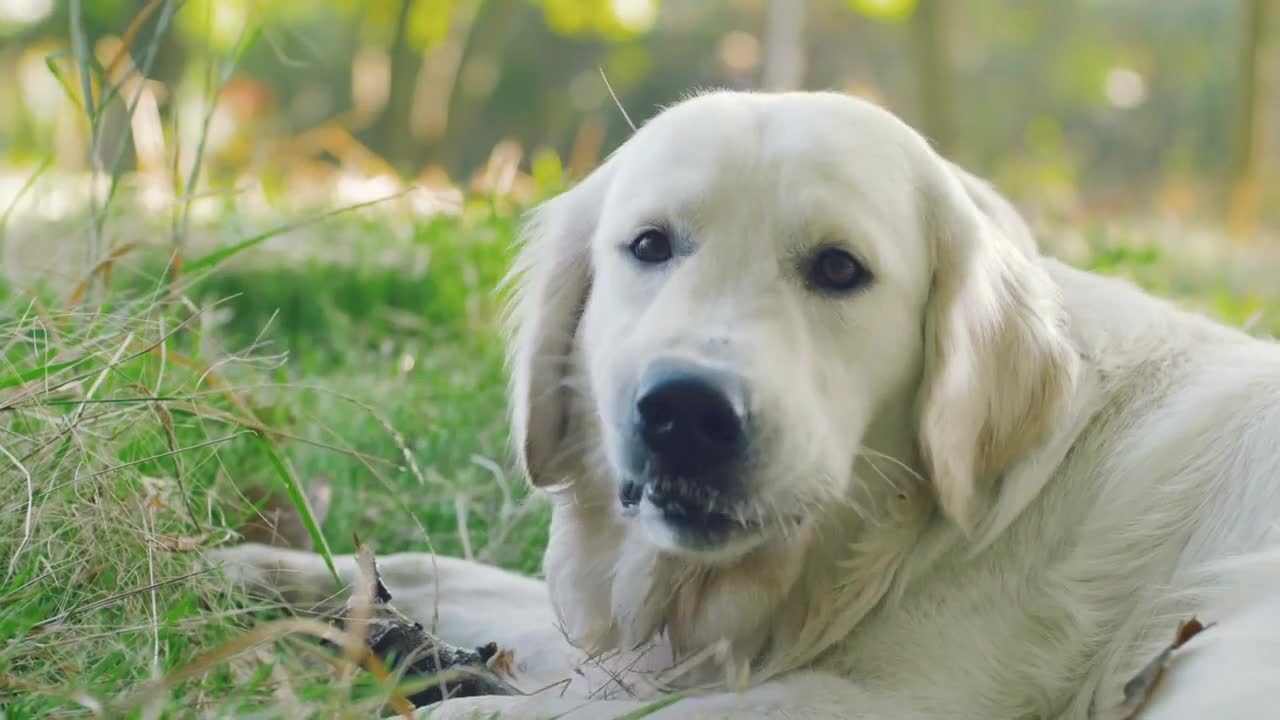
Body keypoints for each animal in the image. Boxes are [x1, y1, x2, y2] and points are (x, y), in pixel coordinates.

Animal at [212, 90, 1280, 717]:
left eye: (840, 269)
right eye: (650, 246)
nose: (684, 414)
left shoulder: (897, 701)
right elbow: (444, 570)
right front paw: (268, 578)